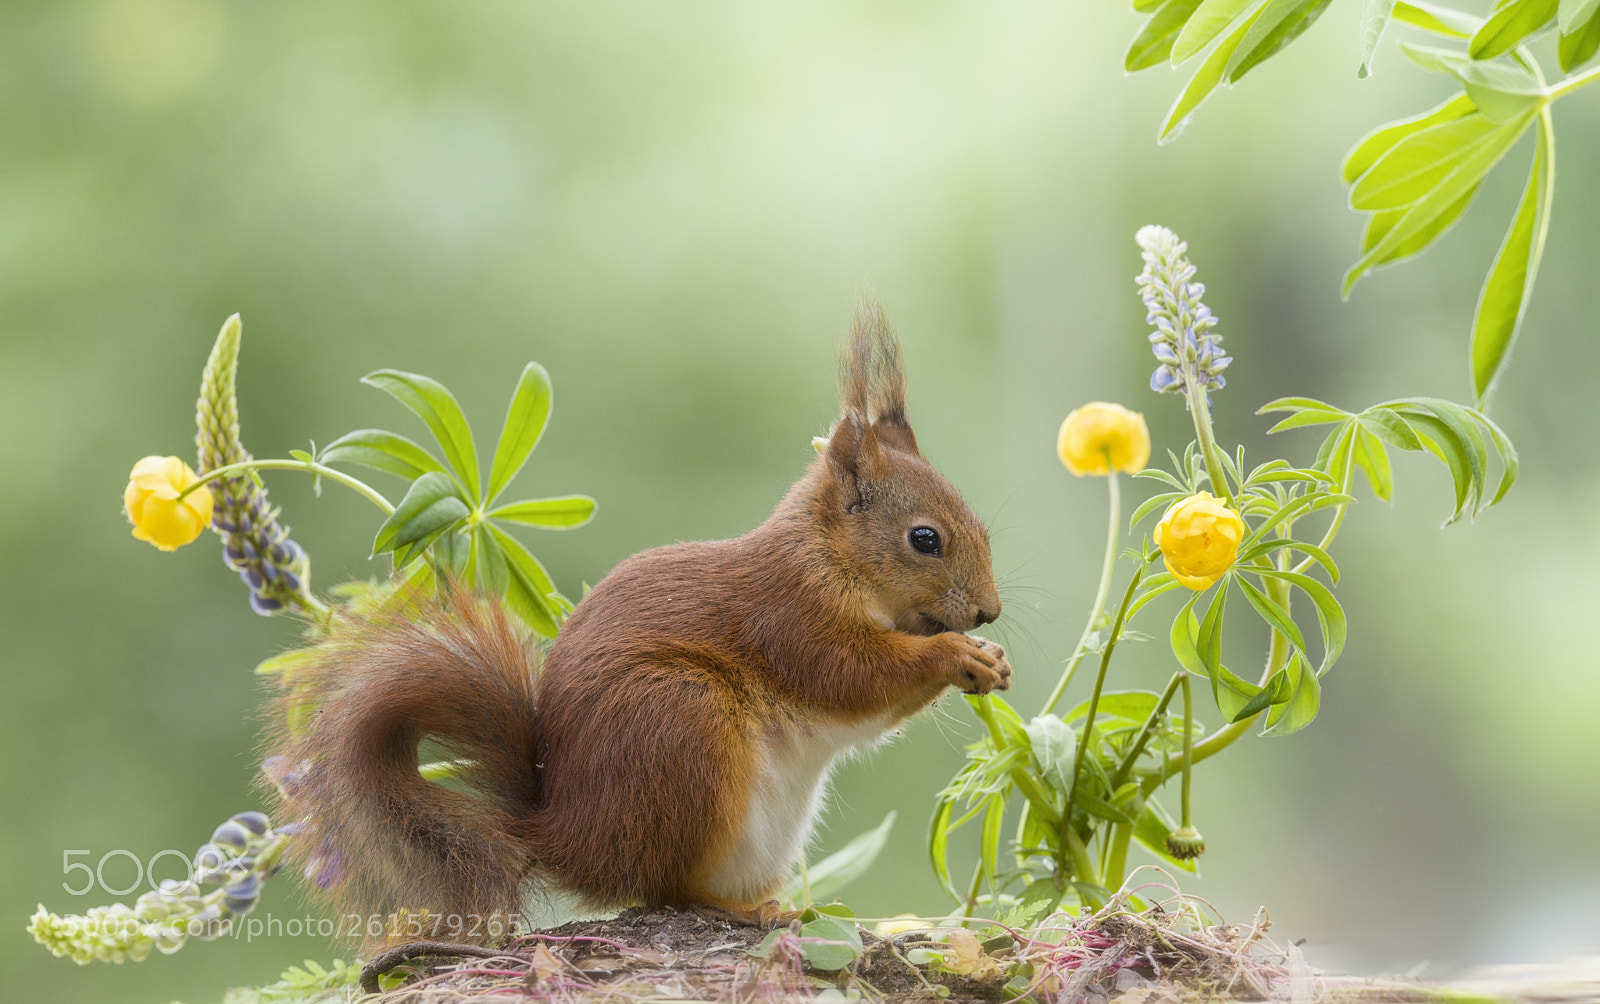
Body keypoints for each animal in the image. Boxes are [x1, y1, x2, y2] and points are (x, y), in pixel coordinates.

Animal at [263, 297, 1011, 945]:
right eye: (924, 539)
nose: (989, 611)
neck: (830, 561)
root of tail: (571, 837)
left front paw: (988, 659)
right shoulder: (787, 617)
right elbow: (851, 676)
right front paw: (957, 655)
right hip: (681, 726)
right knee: (666, 889)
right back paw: (741, 910)